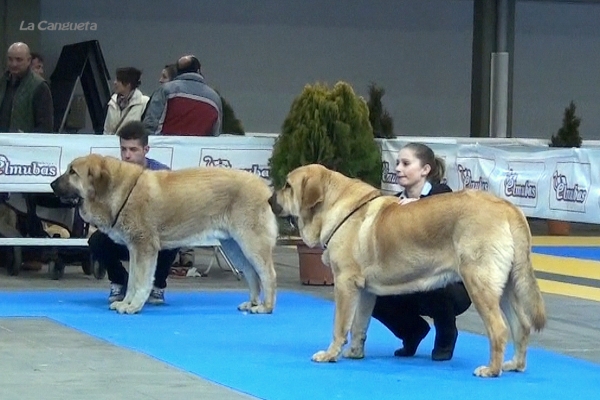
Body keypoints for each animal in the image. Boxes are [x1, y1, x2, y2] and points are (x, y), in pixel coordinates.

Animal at [51, 155, 276, 314]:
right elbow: (132, 280)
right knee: (252, 274)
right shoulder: (135, 250)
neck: (122, 191)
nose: (52, 184)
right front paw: (125, 302)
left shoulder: (145, 249)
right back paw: (252, 303)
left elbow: (141, 281)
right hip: (234, 246)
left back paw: (266, 307)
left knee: (268, 274)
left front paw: (133, 306)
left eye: (73, 172)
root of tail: (265, 187)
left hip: (251, 243)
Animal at [270, 163, 548, 378]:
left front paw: (330, 354)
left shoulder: (345, 283)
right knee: (521, 326)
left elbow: (340, 325)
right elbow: (359, 325)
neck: (334, 206)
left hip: (479, 283)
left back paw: (492, 369)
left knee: (498, 329)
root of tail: (508, 207)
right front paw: (355, 353)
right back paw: (514, 365)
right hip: (506, 287)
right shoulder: (365, 291)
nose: (270, 199)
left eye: (287, 186)